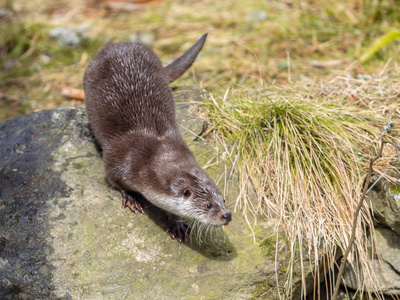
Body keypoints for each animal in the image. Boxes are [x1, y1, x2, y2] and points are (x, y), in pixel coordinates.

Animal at [83, 34, 231, 243]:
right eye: (208, 205)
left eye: (223, 199)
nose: (227, 215)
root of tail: (120, 44)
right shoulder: (115, 161)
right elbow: (114, 181)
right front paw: (132, 197)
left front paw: (176, 223)